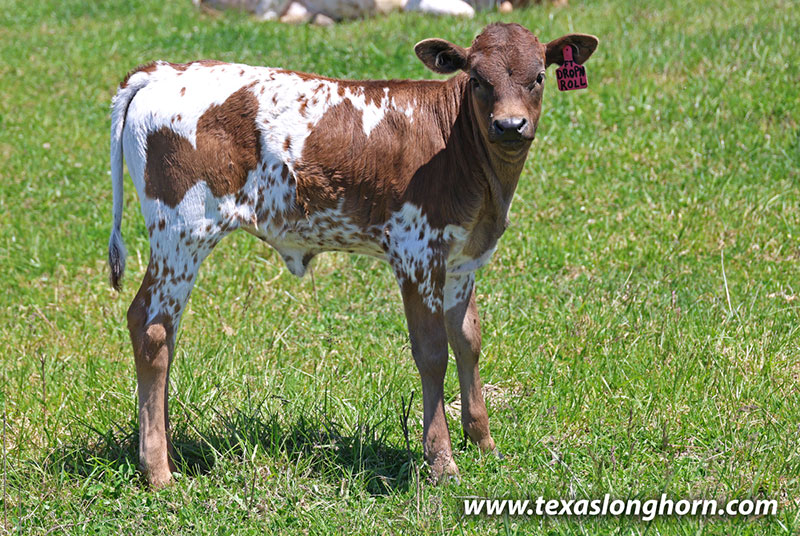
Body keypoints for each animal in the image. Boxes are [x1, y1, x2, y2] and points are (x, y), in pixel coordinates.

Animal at [108, 22, 598, 488]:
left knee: (165, 332)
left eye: (538, 77)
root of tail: (162, 71)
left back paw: (166, 448)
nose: (510, 125)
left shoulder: (461, 261)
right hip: (182, 230)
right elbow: (432, 352)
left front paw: (483, 441)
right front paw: (441, 461)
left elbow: (468, 342)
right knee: (151, 328)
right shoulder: (416, 253)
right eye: (477, 78)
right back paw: (158, 470)